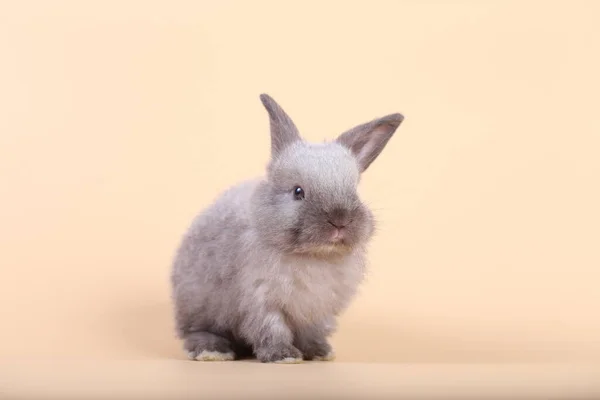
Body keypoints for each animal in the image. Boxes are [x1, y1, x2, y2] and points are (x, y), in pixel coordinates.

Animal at [170, 94, 404, 362]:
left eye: (353, 190)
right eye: (298, 191)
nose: (340, 221)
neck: (314, 256)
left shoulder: (318, 309)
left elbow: (312, 333)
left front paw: (319, 352)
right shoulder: (261, 300)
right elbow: (272, 329)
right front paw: (284, 356)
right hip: (198, 307)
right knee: (195, 332)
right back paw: (213, 351)